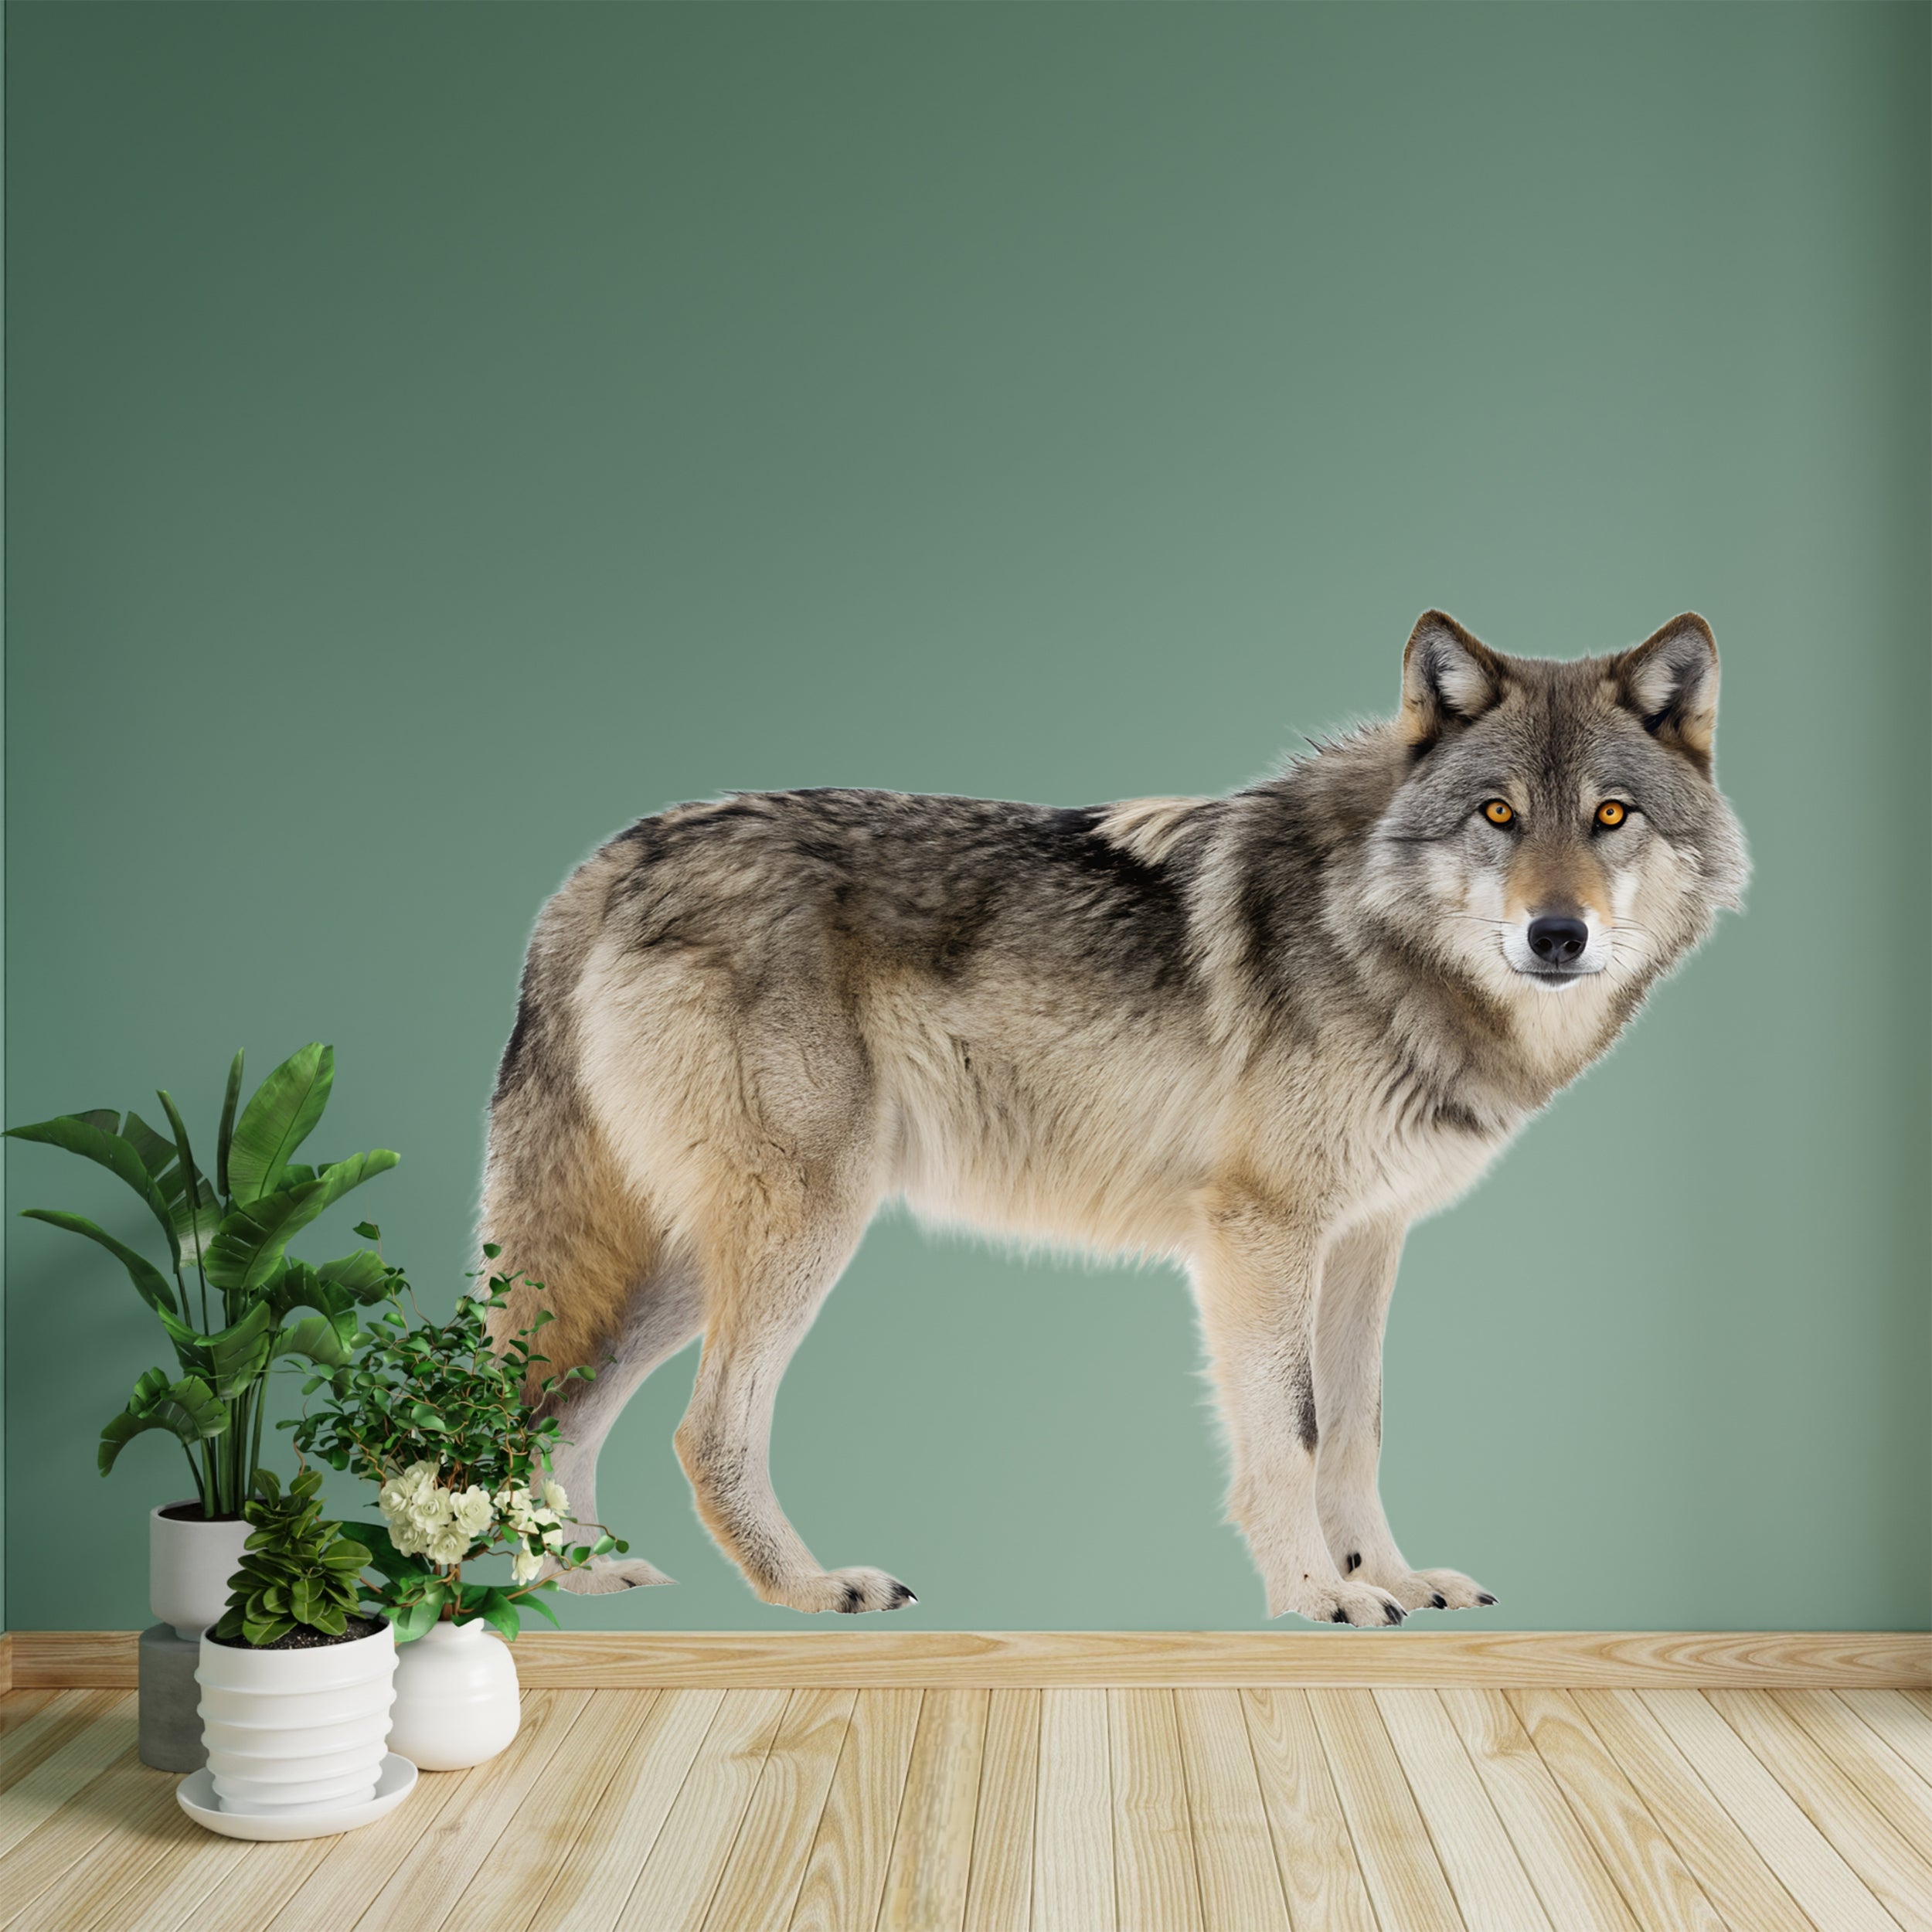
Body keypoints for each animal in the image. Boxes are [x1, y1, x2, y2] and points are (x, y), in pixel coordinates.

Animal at [483, 611, 1745, 1626]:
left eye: (1611, 816)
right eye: (1498, 814)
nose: (1556, 936)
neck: (1377, 935)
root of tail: (601, 862)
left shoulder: (1365, 1241)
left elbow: (1356, 1429)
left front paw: (1388, 1575)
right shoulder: (1262, 1235)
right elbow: (1289, 1434)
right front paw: (1317, 1596)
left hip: (686, 1258)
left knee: (557, 1404)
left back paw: (581, 1578)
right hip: (798, 1225)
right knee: (701, 1431)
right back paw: (808, 1587)